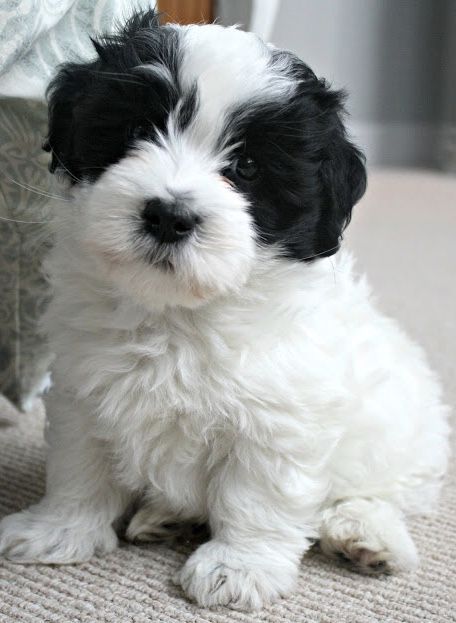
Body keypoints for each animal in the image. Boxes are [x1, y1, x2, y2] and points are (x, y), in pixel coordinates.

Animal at [0, 9, 448, 612]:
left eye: (249, 167)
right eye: (136, 131)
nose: (168, 215)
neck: (177, 314)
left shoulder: (279, 416)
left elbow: (255, 495)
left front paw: (239, 567)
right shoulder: (82, 390)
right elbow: (79, 466)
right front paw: (58, 530)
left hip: (401, 432)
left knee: (386, 493)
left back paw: (366, 535)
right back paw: (164, 517)